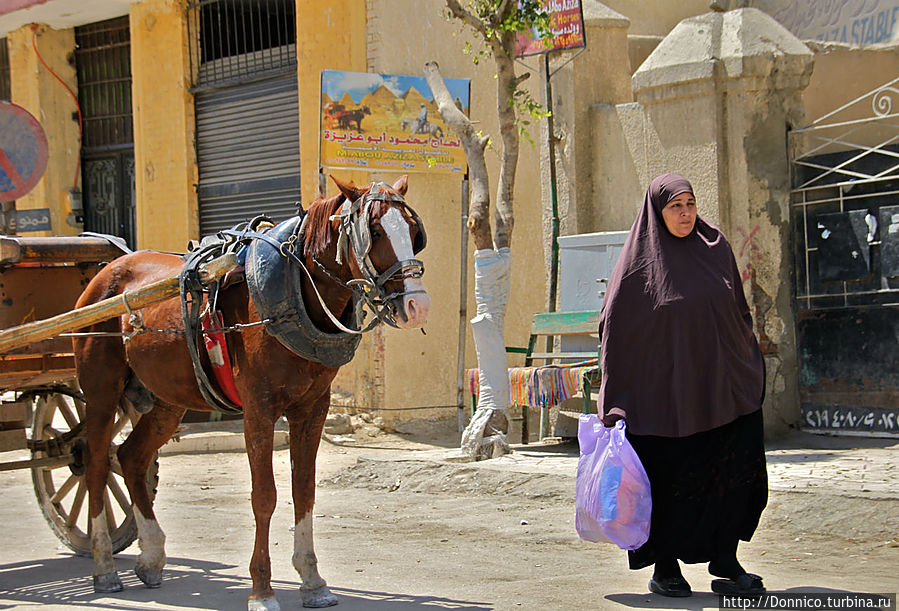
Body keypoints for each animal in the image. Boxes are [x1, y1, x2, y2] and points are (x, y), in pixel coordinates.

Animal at [72, 175, 430, 608]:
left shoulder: (313, 408)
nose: (418, 305)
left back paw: (152, 555)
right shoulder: (258, 410)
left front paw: (312, 580)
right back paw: (104, 566)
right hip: (100, 391)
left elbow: (304, 490)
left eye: (412, 232)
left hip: (167, 399)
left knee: (131, 457)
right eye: (375, 231)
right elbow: (265, 496)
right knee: (95, 463)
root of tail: (106, 271)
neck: (294, 293)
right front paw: (261, 589)